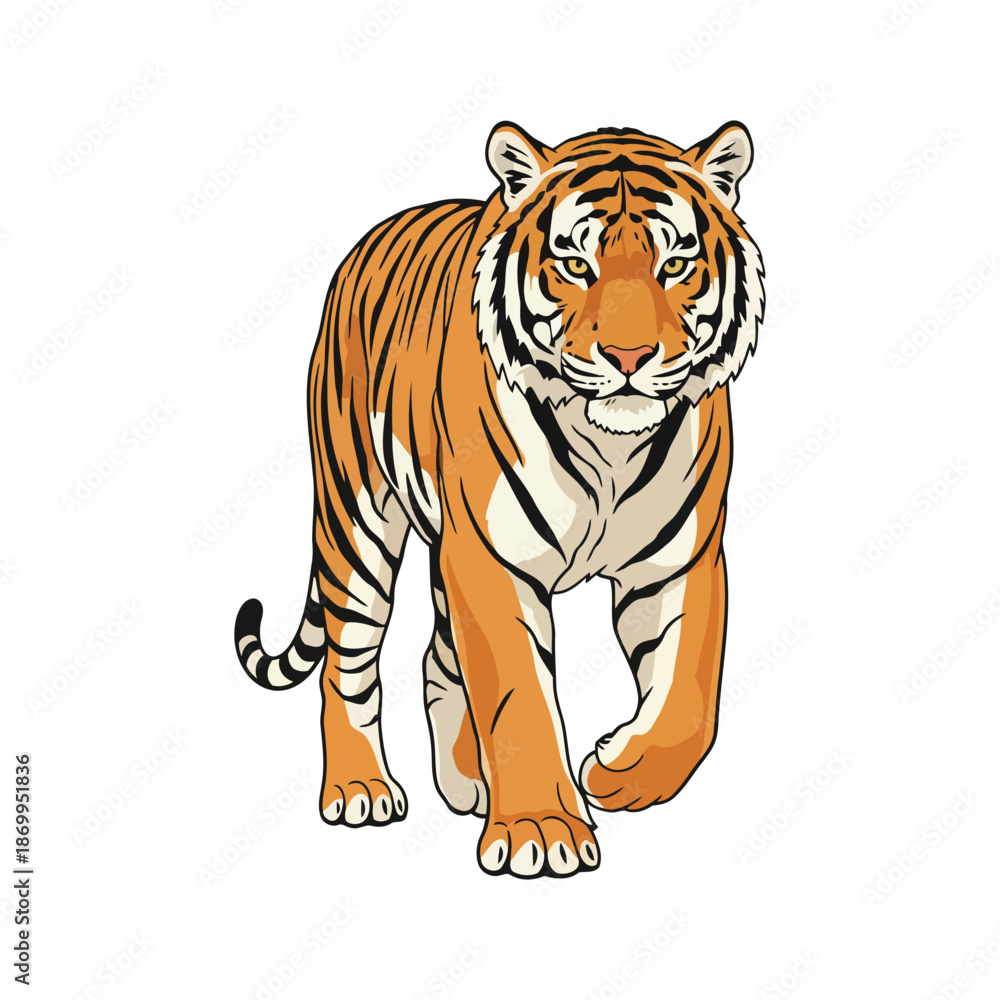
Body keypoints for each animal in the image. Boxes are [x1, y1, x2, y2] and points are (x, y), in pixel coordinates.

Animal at [234, 120, 765, 878]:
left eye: (674, 265)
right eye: (575, 264)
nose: (629, 358)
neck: (609, 446)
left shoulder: (679, 559)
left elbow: (688, 698)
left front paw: (618, 772)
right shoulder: (491, 558)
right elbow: (519, 694)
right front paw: (540, 832)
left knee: (436, 655)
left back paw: (466, 783)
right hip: (356, 517)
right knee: (346, 663)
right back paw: (361, 789)